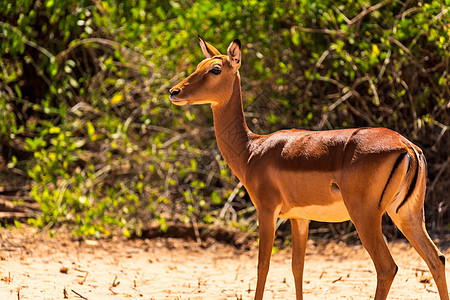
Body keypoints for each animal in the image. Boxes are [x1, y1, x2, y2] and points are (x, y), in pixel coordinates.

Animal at [168, 37, 446, 300]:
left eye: (215, 69)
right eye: (199, 65)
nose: (174, 91)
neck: (252, 150)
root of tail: (406, 146)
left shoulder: (267, 211)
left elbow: (263, 265)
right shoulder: (300, 217)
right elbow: (297, 267)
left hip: (365, 216)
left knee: (387, 267)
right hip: (407, 215)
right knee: (437, 259)